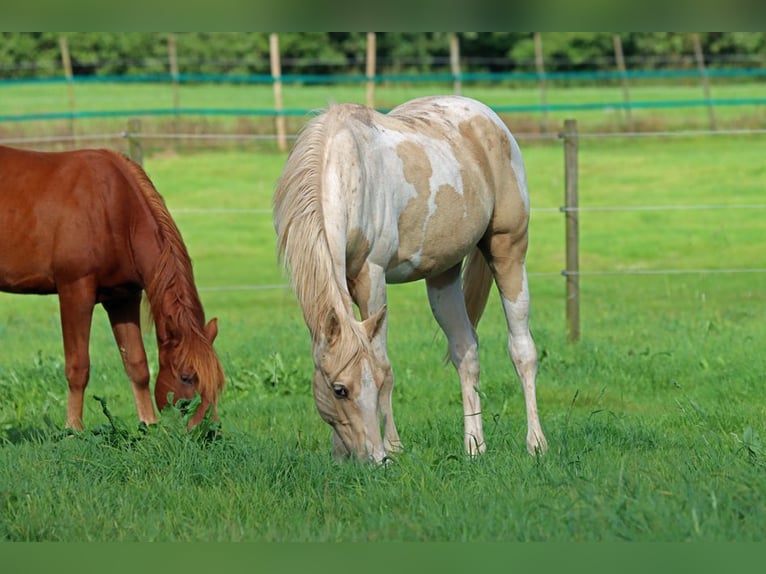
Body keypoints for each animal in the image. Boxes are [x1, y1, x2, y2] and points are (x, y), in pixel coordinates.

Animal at [0, 146, 226, 430]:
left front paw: (148, 425)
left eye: (217, 384)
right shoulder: (75, 291)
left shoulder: (123, 297)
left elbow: (137, 364)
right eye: (187, 377)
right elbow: (78, 366)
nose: (208, 432)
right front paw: (73, 429)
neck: (113, 208)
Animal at [276, 94, 552, 464]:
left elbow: (384, 362)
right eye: (339, 390)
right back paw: (474, 447)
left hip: (509, 251)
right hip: (443, 276)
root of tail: (488, 117)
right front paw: (339, 454)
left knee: (522, 350)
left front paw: (393, 447)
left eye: (371, 384)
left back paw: (536, 443)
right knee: (466, 351)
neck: (346, 171)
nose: (373, 459)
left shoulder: (372, 275)